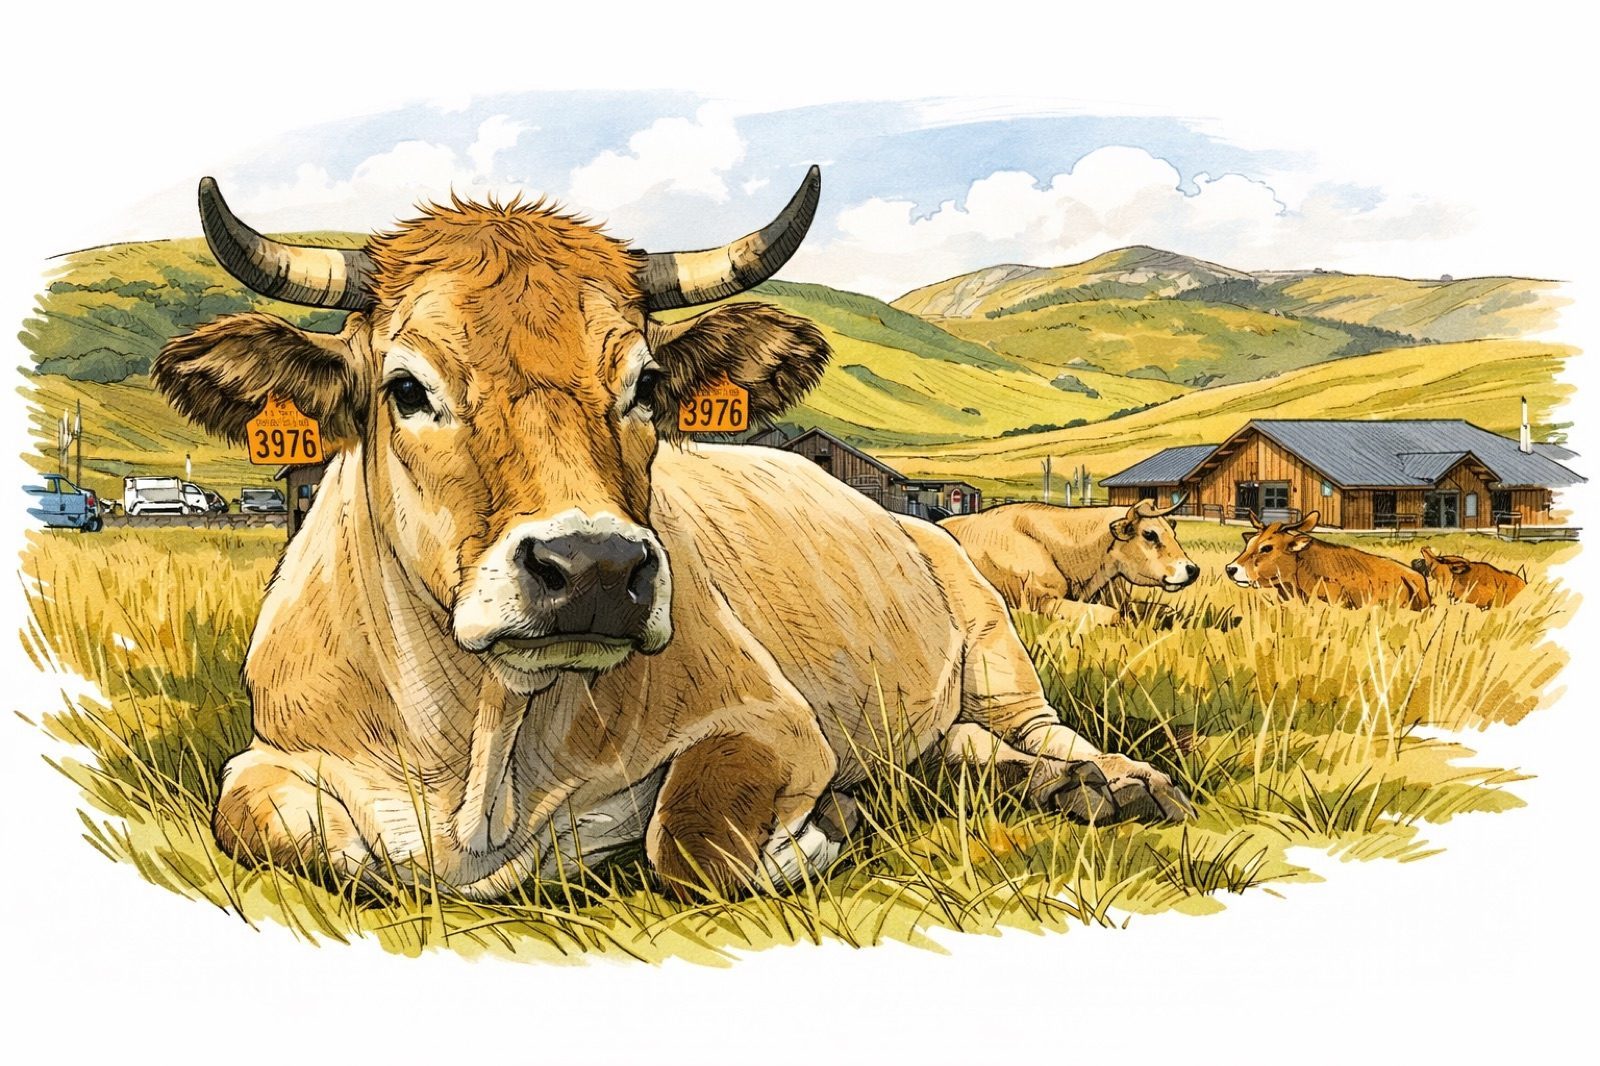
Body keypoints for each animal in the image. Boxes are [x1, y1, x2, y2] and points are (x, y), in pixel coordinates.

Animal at [940, 498, 1202, 621]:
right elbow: (1113, 616)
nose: (1193, 569)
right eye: (1150, 534)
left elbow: (1167, 611)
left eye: (1173, 533)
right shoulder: (1041, 599)